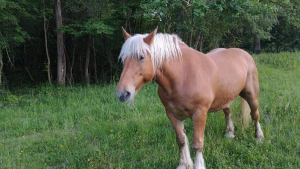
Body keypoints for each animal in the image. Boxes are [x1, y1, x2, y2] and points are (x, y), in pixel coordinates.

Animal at [115, 27, 264, 169]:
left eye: (141, 57)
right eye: (123, 59)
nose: (122, 94)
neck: (182, 76)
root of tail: (244, 54)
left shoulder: (199, 114)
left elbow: (197, 143)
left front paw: (198, 165)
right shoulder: (172, 114)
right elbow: (181, 140)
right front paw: (184, 164)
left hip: (251, 95)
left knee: (255, 114)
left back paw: (259, 137)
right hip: (225, 97)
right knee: (227, 111)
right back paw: (229, 134)